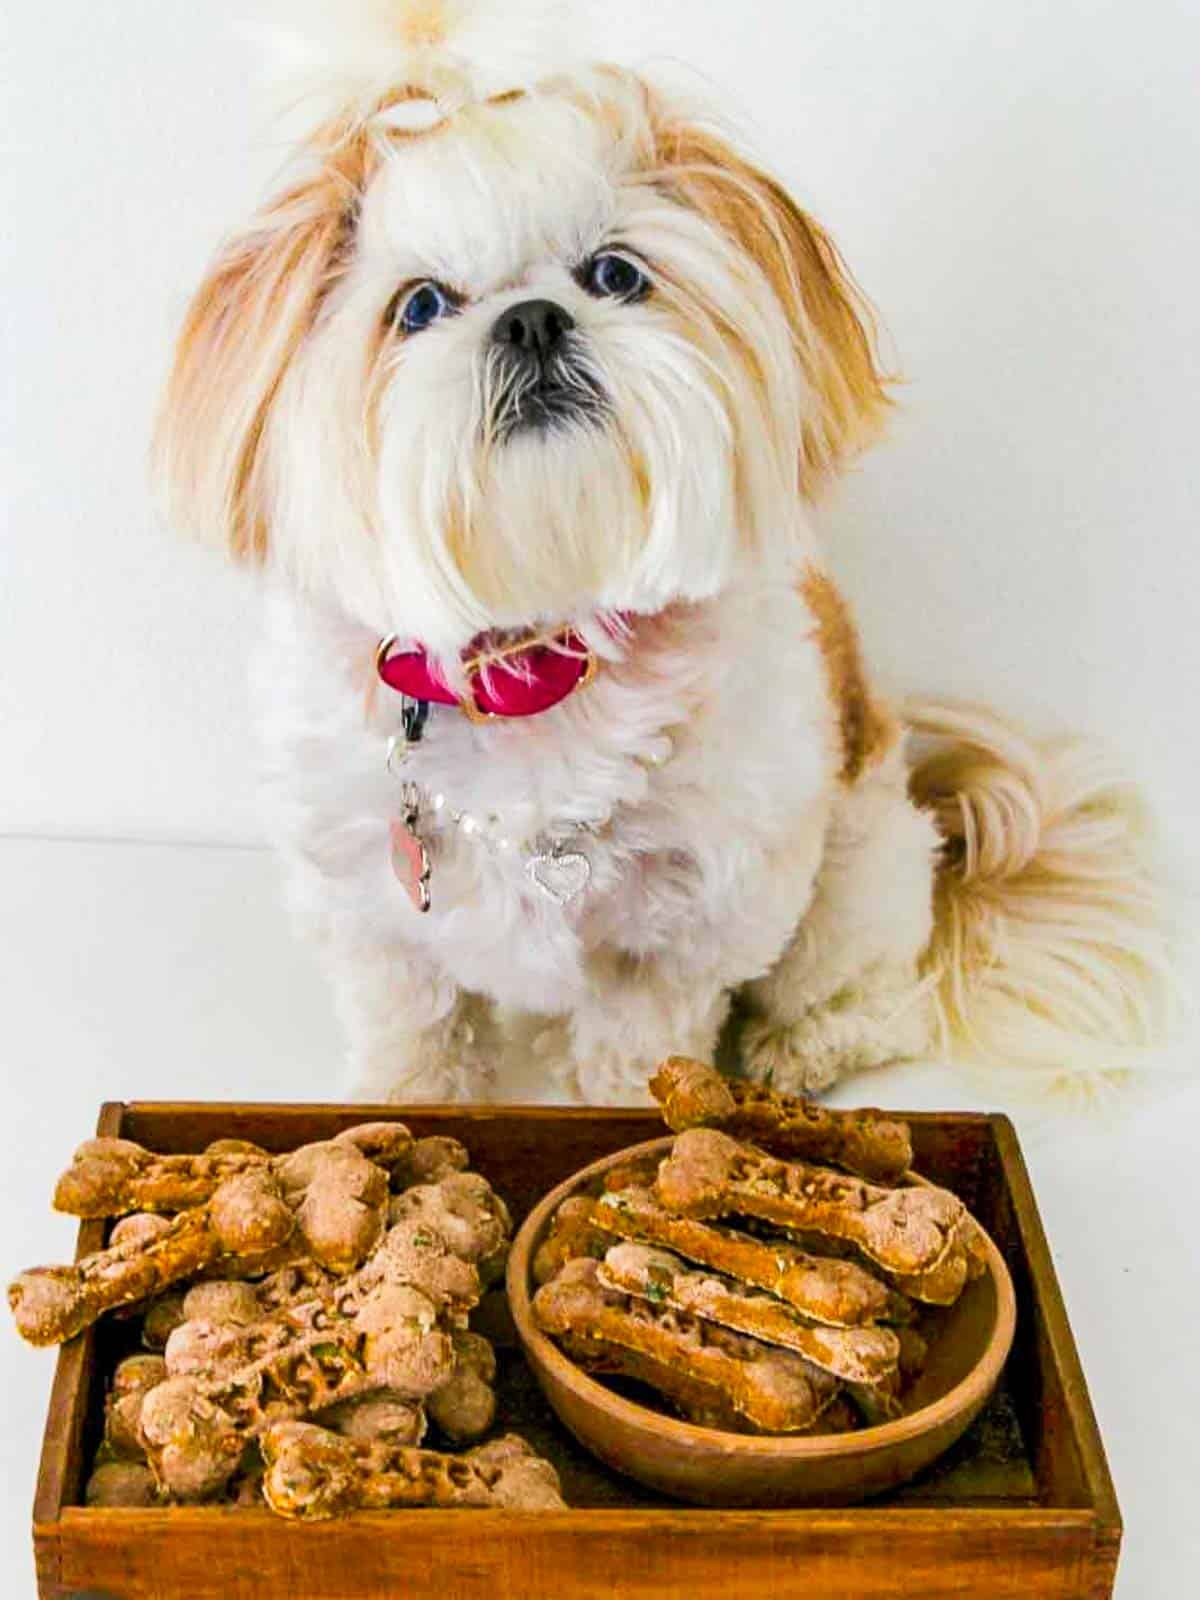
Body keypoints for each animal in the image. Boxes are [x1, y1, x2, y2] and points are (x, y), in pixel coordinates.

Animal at [152, 0, 1177, 1107]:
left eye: (614, 274)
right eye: (419, 305)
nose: (533, 318)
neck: (533, 664)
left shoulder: (686, 925)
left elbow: (638, 1050)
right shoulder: (374, 913)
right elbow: (414, 1032)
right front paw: (401, 1107)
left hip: (854, 877)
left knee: (876, 994)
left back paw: (806, 1043)